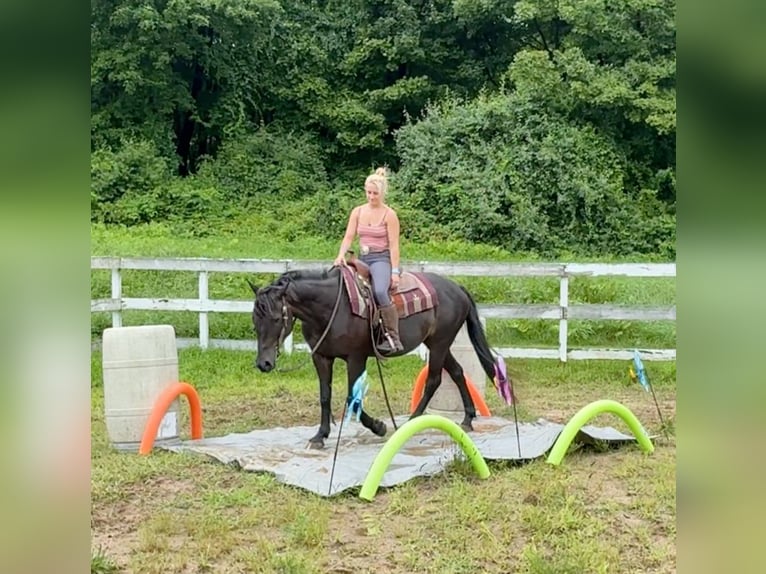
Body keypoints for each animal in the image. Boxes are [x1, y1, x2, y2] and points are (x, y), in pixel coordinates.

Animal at [249, 268, 510, 452]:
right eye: (255, 319)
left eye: (275, 318)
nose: (264, 364)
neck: (331, 307)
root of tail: (457, 287)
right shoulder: (321, 358)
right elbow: (325, 396)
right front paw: (319, 436)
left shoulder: (356, 358)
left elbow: (352, 400)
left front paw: (379, 427)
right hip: (438, 345)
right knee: (456, 372)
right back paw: (467, 419)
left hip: (439, 344)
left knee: (434, 380)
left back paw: (409, 423)